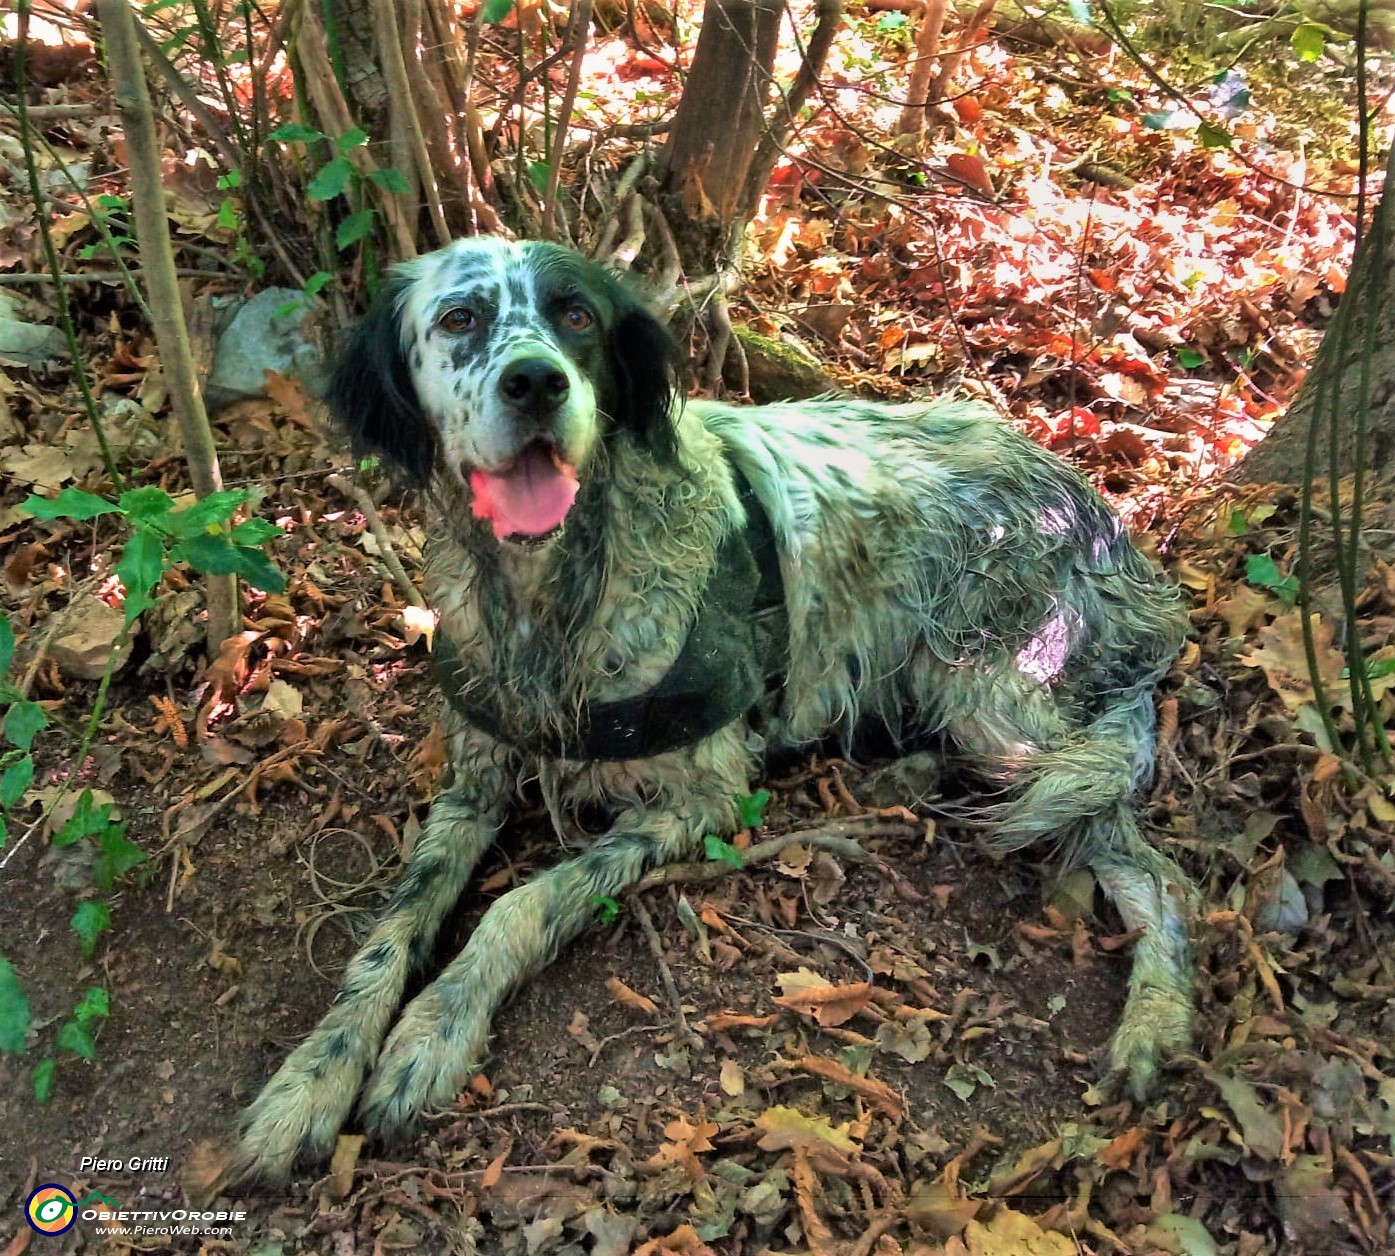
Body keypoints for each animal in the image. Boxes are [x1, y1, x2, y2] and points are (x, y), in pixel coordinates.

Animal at [223, 238, 1194, 1189]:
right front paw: (311, 1078)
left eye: (576, 316)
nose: (535, 382)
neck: (555, 593)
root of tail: (1103, 514)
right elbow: (389, 931)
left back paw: (1154, 1022)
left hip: (998, 694)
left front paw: (434, 1029)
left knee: (1151, 866)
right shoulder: (474, 783)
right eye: (459, 318)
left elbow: (520, 903)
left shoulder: (701, 796)